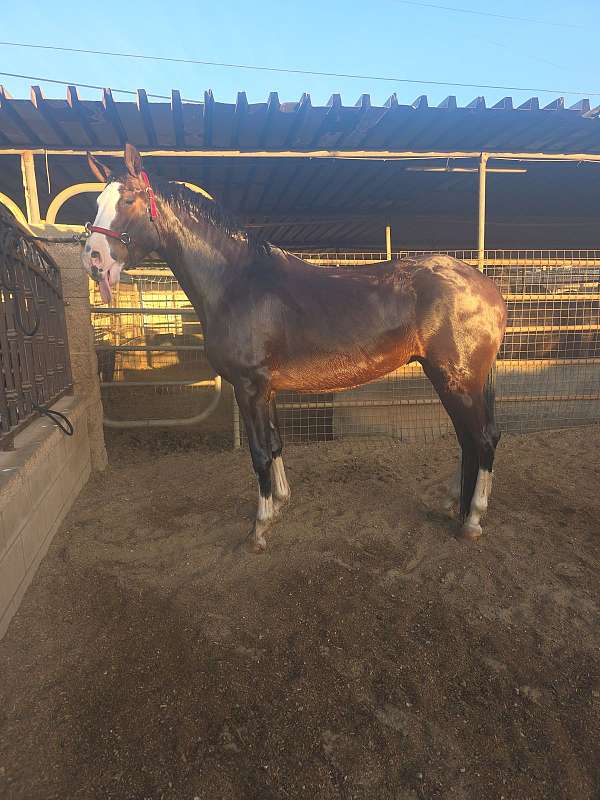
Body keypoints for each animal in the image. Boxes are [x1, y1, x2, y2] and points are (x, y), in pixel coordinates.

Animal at [82, 144, 507, 551]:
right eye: (97, 202)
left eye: (129, 200)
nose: (94, 259)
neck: (237, 283)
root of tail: (487, 287)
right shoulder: (266, 388)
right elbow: (274, 443)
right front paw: (280, 503)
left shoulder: (248, 386)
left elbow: (258, 453)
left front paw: (259, 529)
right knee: (469, 438)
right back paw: (454, 501)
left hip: (456, 379)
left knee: (482, 437)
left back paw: (471, 519)